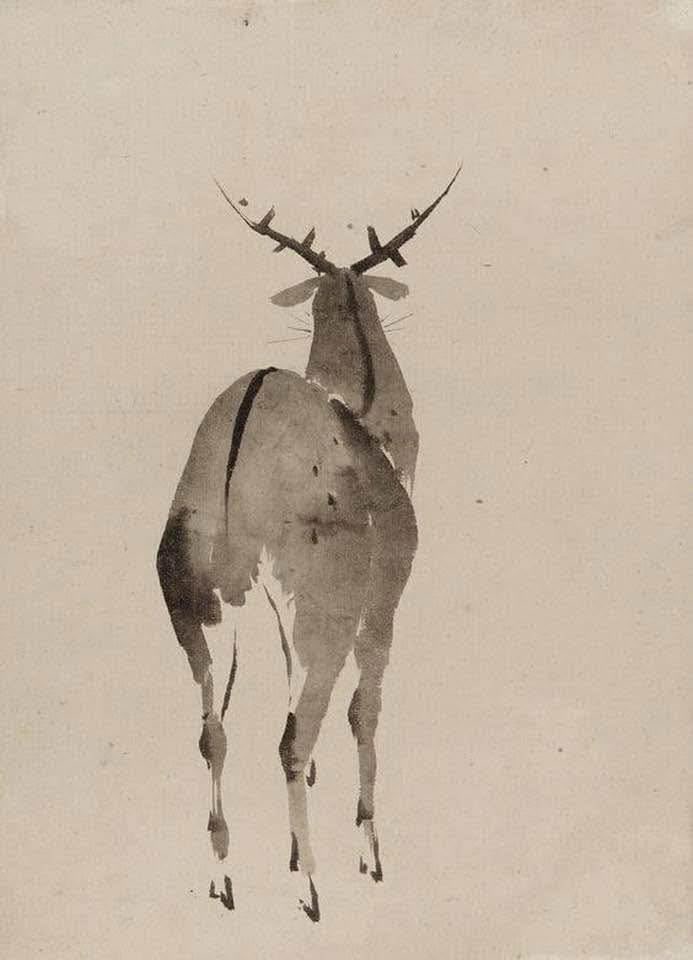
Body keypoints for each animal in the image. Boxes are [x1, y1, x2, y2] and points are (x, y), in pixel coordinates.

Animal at [156, 165, 461, 920]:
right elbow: (364, 711)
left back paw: (224, 879)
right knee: (294, 734)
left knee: (213, 731)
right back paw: (312, 889)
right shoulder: (382, 602)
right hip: (322, 606)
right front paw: (368, 854)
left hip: (193, 604)